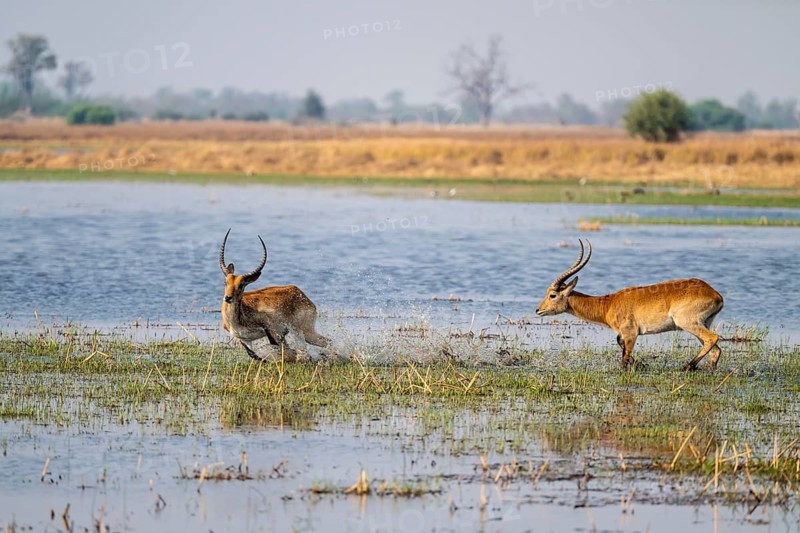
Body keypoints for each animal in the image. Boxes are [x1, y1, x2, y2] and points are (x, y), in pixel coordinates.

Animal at [219, 229, 329, 361]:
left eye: (241, 284)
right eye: (226, 282)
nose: (228, 298)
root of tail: (300, 293)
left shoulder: (271, 329)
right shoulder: (245, 340)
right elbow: (252, 354)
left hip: (304, 332)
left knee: (323, 342)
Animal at [535, 240, 724, 370]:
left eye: (552, 295)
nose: (538, 310)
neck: (608, 304)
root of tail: (715, 293)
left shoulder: (631, 333)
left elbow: (624, 359)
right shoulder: (623, 334)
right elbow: (621, 346)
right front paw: (640, 364)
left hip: (687, 323)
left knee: (712, 338)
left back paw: (687, 366)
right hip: (702, 323)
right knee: (715, 349)